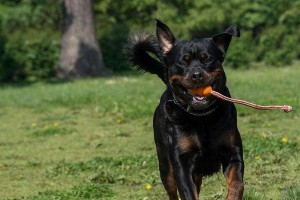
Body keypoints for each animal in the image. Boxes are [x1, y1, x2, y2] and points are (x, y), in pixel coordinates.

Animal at [124, 20, 244, 200]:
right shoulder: (182, 161)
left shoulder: (232, 152)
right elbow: (187, 192)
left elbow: (237, 184)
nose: (197, 74)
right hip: (165, 167)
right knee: (172, 191)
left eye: (207, 59)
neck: (201, 118)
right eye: (183, 62)